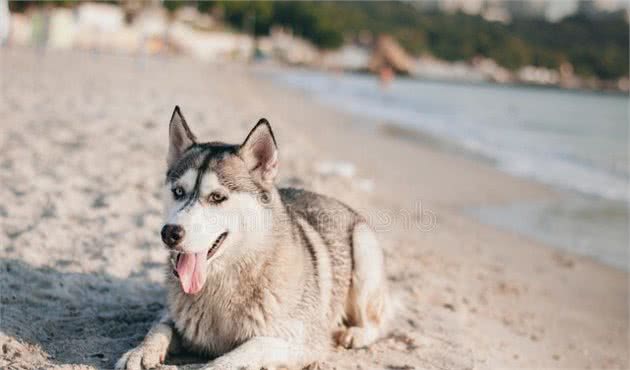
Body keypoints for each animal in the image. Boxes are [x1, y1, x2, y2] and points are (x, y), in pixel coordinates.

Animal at [115, 107, 388, 370]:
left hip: (362, 251)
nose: (170, 233)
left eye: (217, 197)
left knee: (376, 321)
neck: (223, 284)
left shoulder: (306, 343)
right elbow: (159, 327)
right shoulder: (174, 315)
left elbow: (250, 347)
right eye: (178, 192)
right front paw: (140, 351)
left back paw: (355, 333)